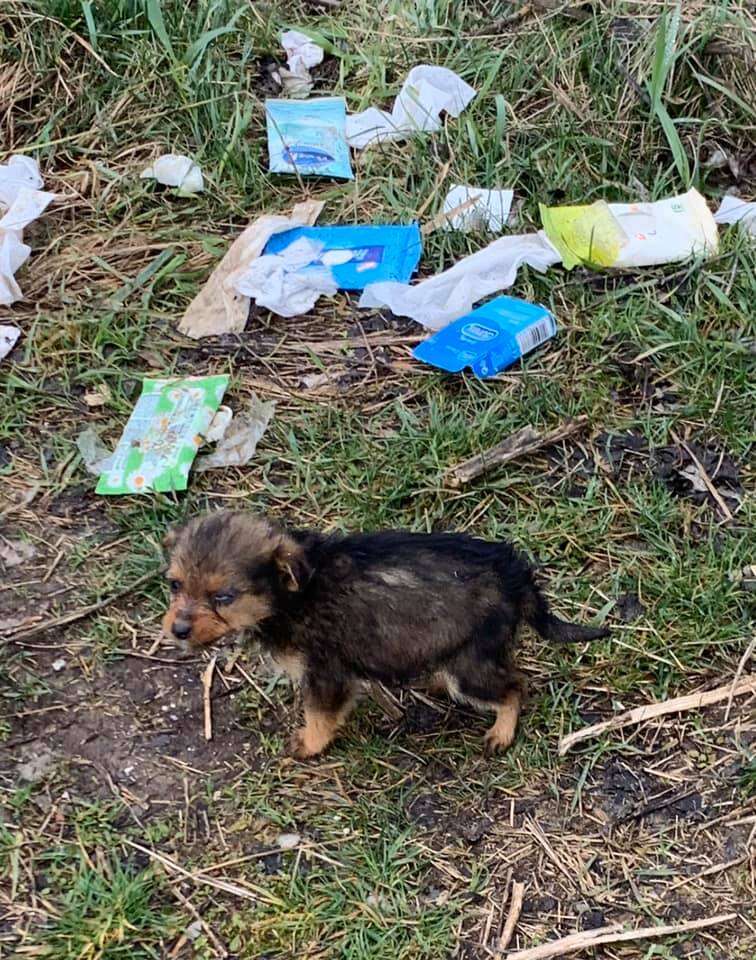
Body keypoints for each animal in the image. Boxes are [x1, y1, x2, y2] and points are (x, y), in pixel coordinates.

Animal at [161, 510, 608, 756]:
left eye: (223, 596)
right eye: (175, 585)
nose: (177, 631)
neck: (291, 596)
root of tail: (515, 573)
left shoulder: (325, 672)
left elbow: (318, 714)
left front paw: (308, 744)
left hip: (472, 663)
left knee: (515, 685)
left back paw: (501, 732)